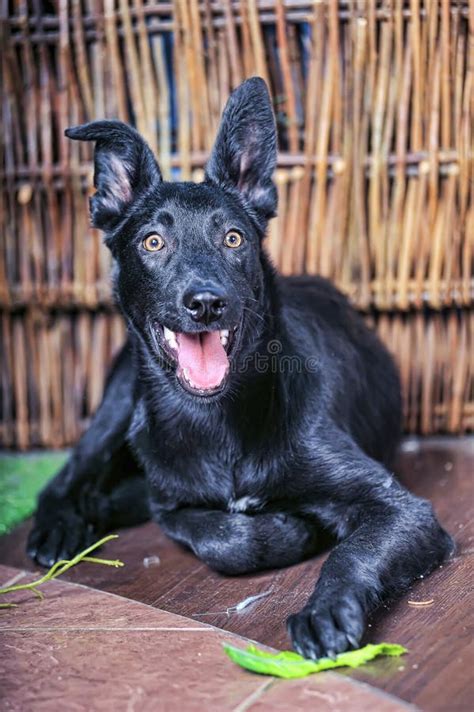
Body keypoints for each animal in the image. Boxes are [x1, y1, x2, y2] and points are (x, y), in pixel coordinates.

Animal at [27, 79, 454, 660]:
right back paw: (57, 527)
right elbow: (223, 536)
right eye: (152, 242)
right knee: (70, 473)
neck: (219, 420)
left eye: (233, 238)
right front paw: (287, 531)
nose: (206, 303)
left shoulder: (400, 507)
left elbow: (352, 550)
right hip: (119, 401)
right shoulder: (172, 504)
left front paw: (325, 609)